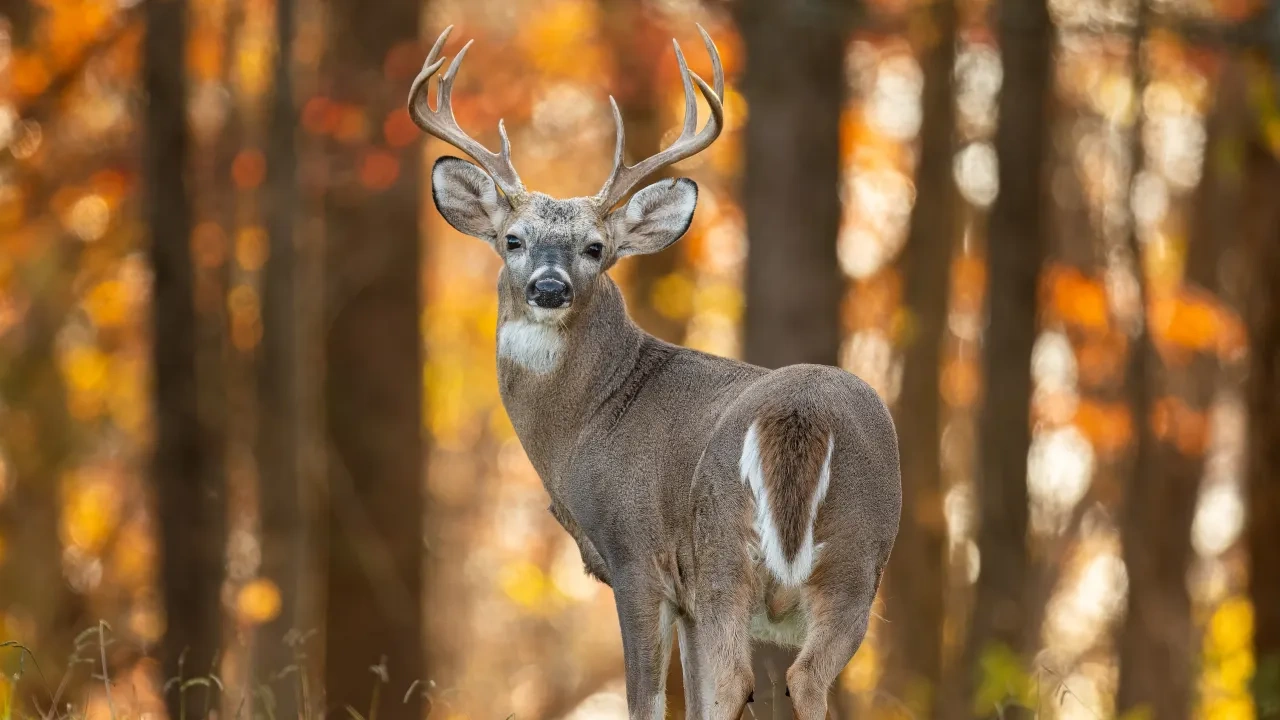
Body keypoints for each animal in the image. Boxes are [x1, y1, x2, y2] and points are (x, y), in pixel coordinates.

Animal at [408, 24, 902, 720]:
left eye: (596, 248)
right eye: (512, 239)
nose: (550, 287)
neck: (589, 420)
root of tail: (799, 414)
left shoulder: (637, 554)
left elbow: (647, 699)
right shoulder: (687, 597)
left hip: (723, 544)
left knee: (739, 679)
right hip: (859, 553)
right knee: (805, 678)